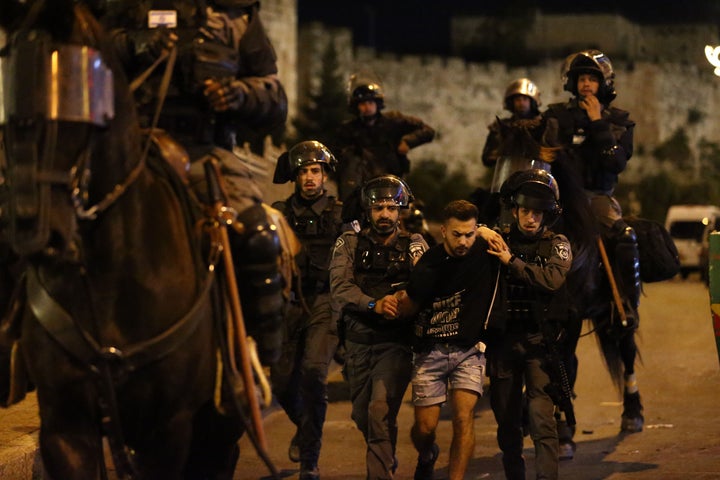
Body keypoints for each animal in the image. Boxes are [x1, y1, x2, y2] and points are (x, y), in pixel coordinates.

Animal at [0, 1, 286, 478]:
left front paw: (231, 94)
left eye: (75, 91)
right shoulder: (65, 429)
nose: (33, 228)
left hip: (219, 424)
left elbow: (269, 84)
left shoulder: (168, 430)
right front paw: (147, 41)